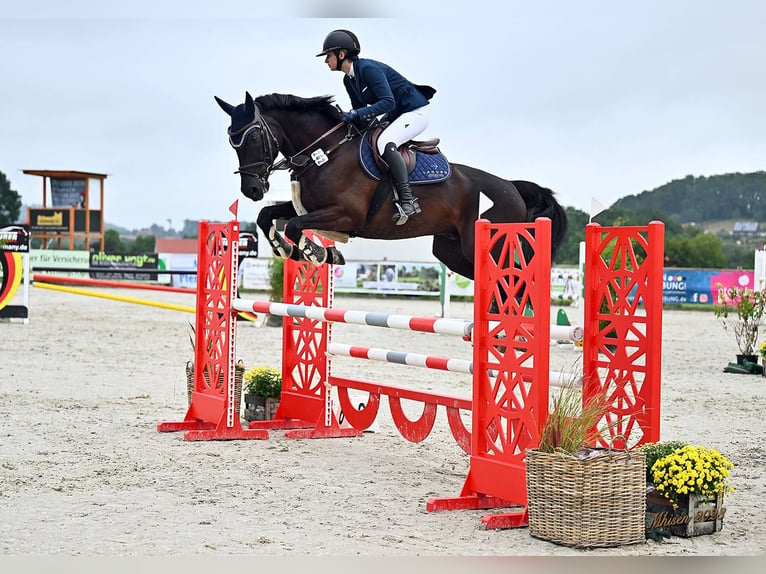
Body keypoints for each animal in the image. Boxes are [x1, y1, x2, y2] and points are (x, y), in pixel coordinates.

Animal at [213, 90, 568, 282]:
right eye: (231, 141)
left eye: (253, 138)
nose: (252, 190)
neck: (325, 151)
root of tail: (512, 187)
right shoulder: (311, 207)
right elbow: (268, 216)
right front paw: (288, 249)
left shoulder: (346, 215)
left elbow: (295, 225)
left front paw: (315, 252)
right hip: (452, 252)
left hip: (488, 245)